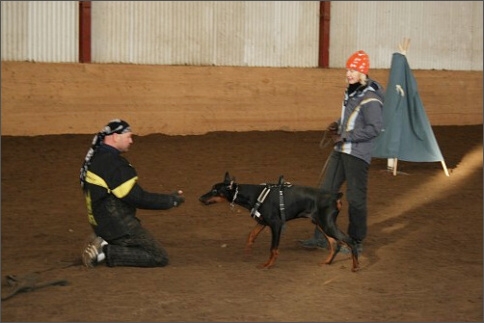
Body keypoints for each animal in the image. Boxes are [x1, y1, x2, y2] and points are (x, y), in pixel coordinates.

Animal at [198, 173, 360, 272]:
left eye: (215, 191)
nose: (200, 198)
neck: (254, 194)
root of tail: (335, 196)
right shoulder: (262, 222)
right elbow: (251, 236)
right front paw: (247, 252)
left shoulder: (276, 224)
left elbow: (273, 249)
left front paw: (267, 264)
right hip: (320, 224)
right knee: (334, 243)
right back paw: (326, 262)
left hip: (327, 224)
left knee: (350, 241)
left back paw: (355, 266)